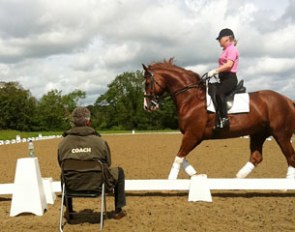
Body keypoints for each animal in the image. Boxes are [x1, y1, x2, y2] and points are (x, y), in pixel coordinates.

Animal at [143, 59, 295, 179]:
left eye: (147, 82)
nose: (147, 106)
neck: (191, 98)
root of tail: (287, 100)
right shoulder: (193, 136)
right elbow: (182, 158)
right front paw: (195, 175)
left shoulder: (193, 135)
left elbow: (179, 158)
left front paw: (171, 181)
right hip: (258, 134)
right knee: (256, 157)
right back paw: (237, 180)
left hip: (281, 135)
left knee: (291, 158)